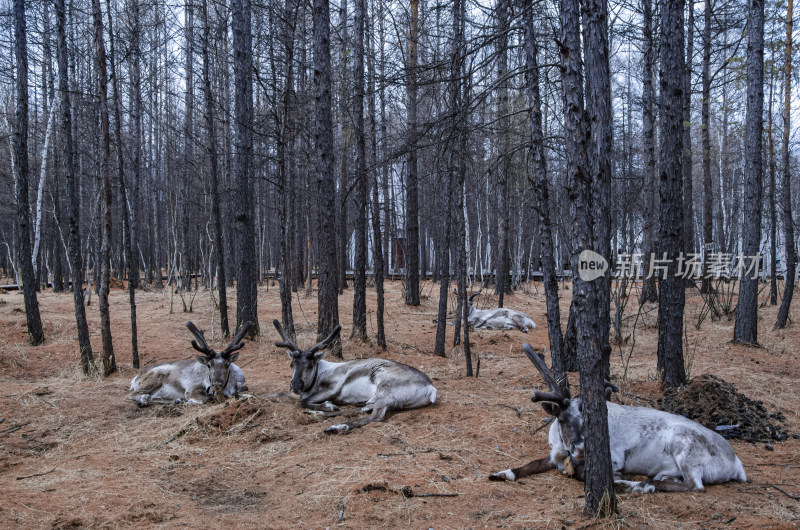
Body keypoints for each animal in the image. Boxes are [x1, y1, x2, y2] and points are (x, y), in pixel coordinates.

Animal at [274, 318, 438, 434]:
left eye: (309, 365)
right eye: (291, 364)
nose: (295, 385)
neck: (319, 374)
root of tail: (431, 388)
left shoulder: (334, 387)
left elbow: (304, 401)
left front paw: (328, 405)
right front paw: (327, 406)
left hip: (385, 390)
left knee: (376, 415)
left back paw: (337, 426)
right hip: (382, 398)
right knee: (365, 408)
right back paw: (318, 414)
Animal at [488, 342, 752, 490]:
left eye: (589, 421)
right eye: (561, 419)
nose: (581, 450)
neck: (564, 449)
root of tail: (736, 462)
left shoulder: (615, 458)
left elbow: (581, 474)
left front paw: (615, 477)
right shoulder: (555, 453)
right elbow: (528, 464)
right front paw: (501, 473)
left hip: (684, 447)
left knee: (694, 486)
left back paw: (637, 485)